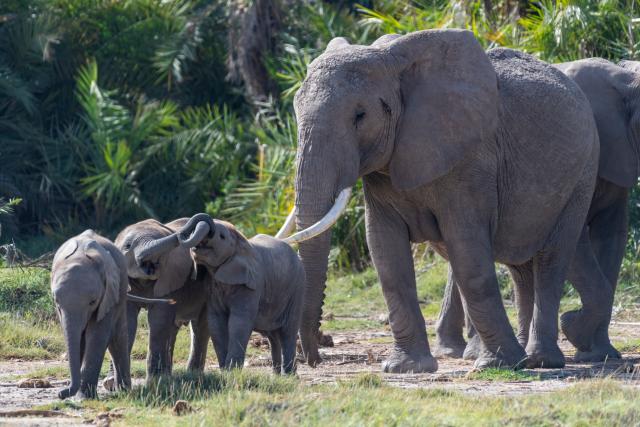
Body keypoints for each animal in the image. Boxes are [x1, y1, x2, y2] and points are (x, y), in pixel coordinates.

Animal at [51, 230, 172, 399]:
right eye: (57, 302)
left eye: (93, 302)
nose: (60, 394)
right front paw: (78, 396)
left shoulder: (108, 292)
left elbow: (97, 335)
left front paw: (83, 398)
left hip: (120, 290)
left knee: (117, 336)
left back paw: (124, 390)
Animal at [108, 218, 210, 382]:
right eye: (128, 246)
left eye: (164, 255)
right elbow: (128, 322)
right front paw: (110, 383)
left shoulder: (170, 278)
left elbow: (158, 320)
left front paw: (155, 382)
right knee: (173, 329)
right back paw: (169, 375)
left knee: (199, 327)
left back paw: (192, 375)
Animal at [143, 214, 306, 374]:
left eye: (221, 237)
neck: (241, 242)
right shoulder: (212, 287)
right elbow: (216, 322)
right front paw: (225, 371)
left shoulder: (251, 285)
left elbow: (238, 322)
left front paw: (232, 372)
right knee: (273, 335)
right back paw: (278, 375)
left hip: (297, 289)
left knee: (288, 331)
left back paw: (288, 375)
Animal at [276, 29, 599, 372]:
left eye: (360, 116)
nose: (313, 357)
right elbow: (385, 252)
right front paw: (406, 367)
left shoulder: (471, 159)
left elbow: (467, 250)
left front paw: (497, 364)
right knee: (520, 268)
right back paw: (523, 356)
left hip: (583, 173)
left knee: (551, 260)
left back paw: (539, 360)